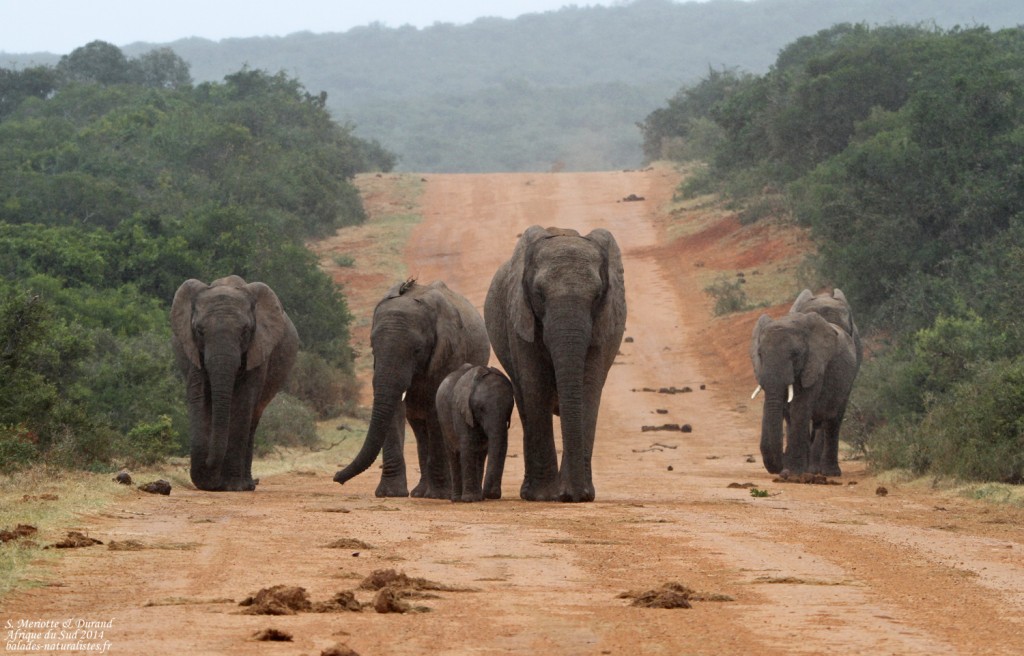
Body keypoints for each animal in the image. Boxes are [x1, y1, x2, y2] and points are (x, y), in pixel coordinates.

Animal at [170, 276, 299, 491]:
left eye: (245, 331)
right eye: (199, 331)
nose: (211, 481)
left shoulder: (259, 348)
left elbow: (242, 403)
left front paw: (231, 486)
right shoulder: (193, 351)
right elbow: (199, 398)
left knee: (252, 420)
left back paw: (246, 485)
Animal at [333, 280, 490, 499]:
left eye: (417, 350)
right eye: (373, 348)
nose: (336, 477)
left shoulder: (449, 353)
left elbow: (435, 408)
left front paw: (438, 495)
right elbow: (394, 410)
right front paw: (390, 493)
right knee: (419, 429)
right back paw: (418, 493)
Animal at [436, 364, 515, 502]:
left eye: (509, 409)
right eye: (481, 409)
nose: (493, 495)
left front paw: (476, 498)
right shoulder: (460, 411)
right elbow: (468, 444)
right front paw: (469, 499)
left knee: (480, 455)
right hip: (443, 420)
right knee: (453, 454)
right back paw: (457, 499)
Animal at [484, 225, 626, 502]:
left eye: (597, 296)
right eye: (539, 295)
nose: (572, 496)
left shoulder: (603, 324)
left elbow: (588, 387)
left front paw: (579, 494)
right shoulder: (519, 319)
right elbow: (535, 385)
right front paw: (545, 496)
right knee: (524, 401)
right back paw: (530, 492)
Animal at [750, 310, 858, 477]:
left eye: (795, 354)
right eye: (760, 354)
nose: (780, 467)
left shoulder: (814, 366)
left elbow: (800, 408)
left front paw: (793, 473)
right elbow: (785, 410)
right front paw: (790, 470)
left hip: (848, 381)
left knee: (833, 421)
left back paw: (829, 473)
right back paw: (810, 470)